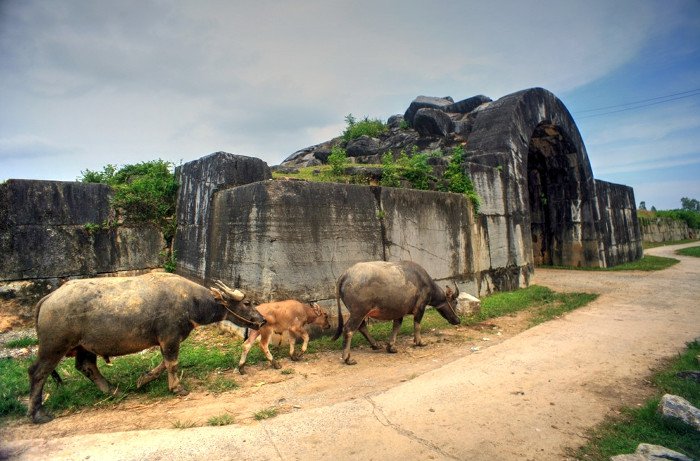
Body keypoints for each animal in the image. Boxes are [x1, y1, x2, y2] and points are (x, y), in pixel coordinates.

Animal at [27, 272, 266, 422]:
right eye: (247, 303)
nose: (261, 320)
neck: (191, 301)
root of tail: (49, 297)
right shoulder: (170, 338)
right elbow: (172, 363)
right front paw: (177, 388)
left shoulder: (166, 340)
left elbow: (163, 364)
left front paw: (143, 379)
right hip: (54, 346)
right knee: (37, 372)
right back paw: (37, 413)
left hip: (84, 346)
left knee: (86, 366)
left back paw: (113, 390)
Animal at [332, 260, 462, 364]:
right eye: (455, 302)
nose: (458, 320)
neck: (425, 283)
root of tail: (345, 274)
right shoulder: (420, 307)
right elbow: (417, 325)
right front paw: (419, 342)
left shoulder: (399, 311)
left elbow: (396, 326)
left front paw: (391, 347)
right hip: (358, 312)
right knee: (349, 329)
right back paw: (347, 358)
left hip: (360, 313)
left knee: (361, 327)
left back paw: (375, 345)